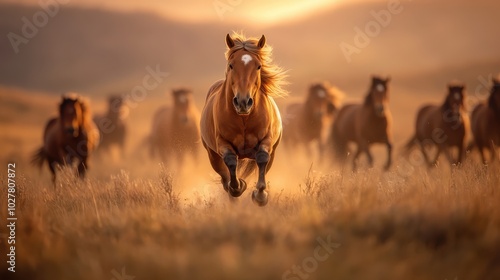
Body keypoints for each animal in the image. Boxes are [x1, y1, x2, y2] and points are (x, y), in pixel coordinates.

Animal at [198, 33, 286, 208]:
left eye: (258, 66)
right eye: (231, 65)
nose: (243, 102)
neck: (244, 119)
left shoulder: (267, 141)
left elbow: (262, 158)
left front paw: (260, 196)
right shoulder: (222, 144)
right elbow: (231, 162)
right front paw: (239, 186)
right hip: (212, 155)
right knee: (224, 176)